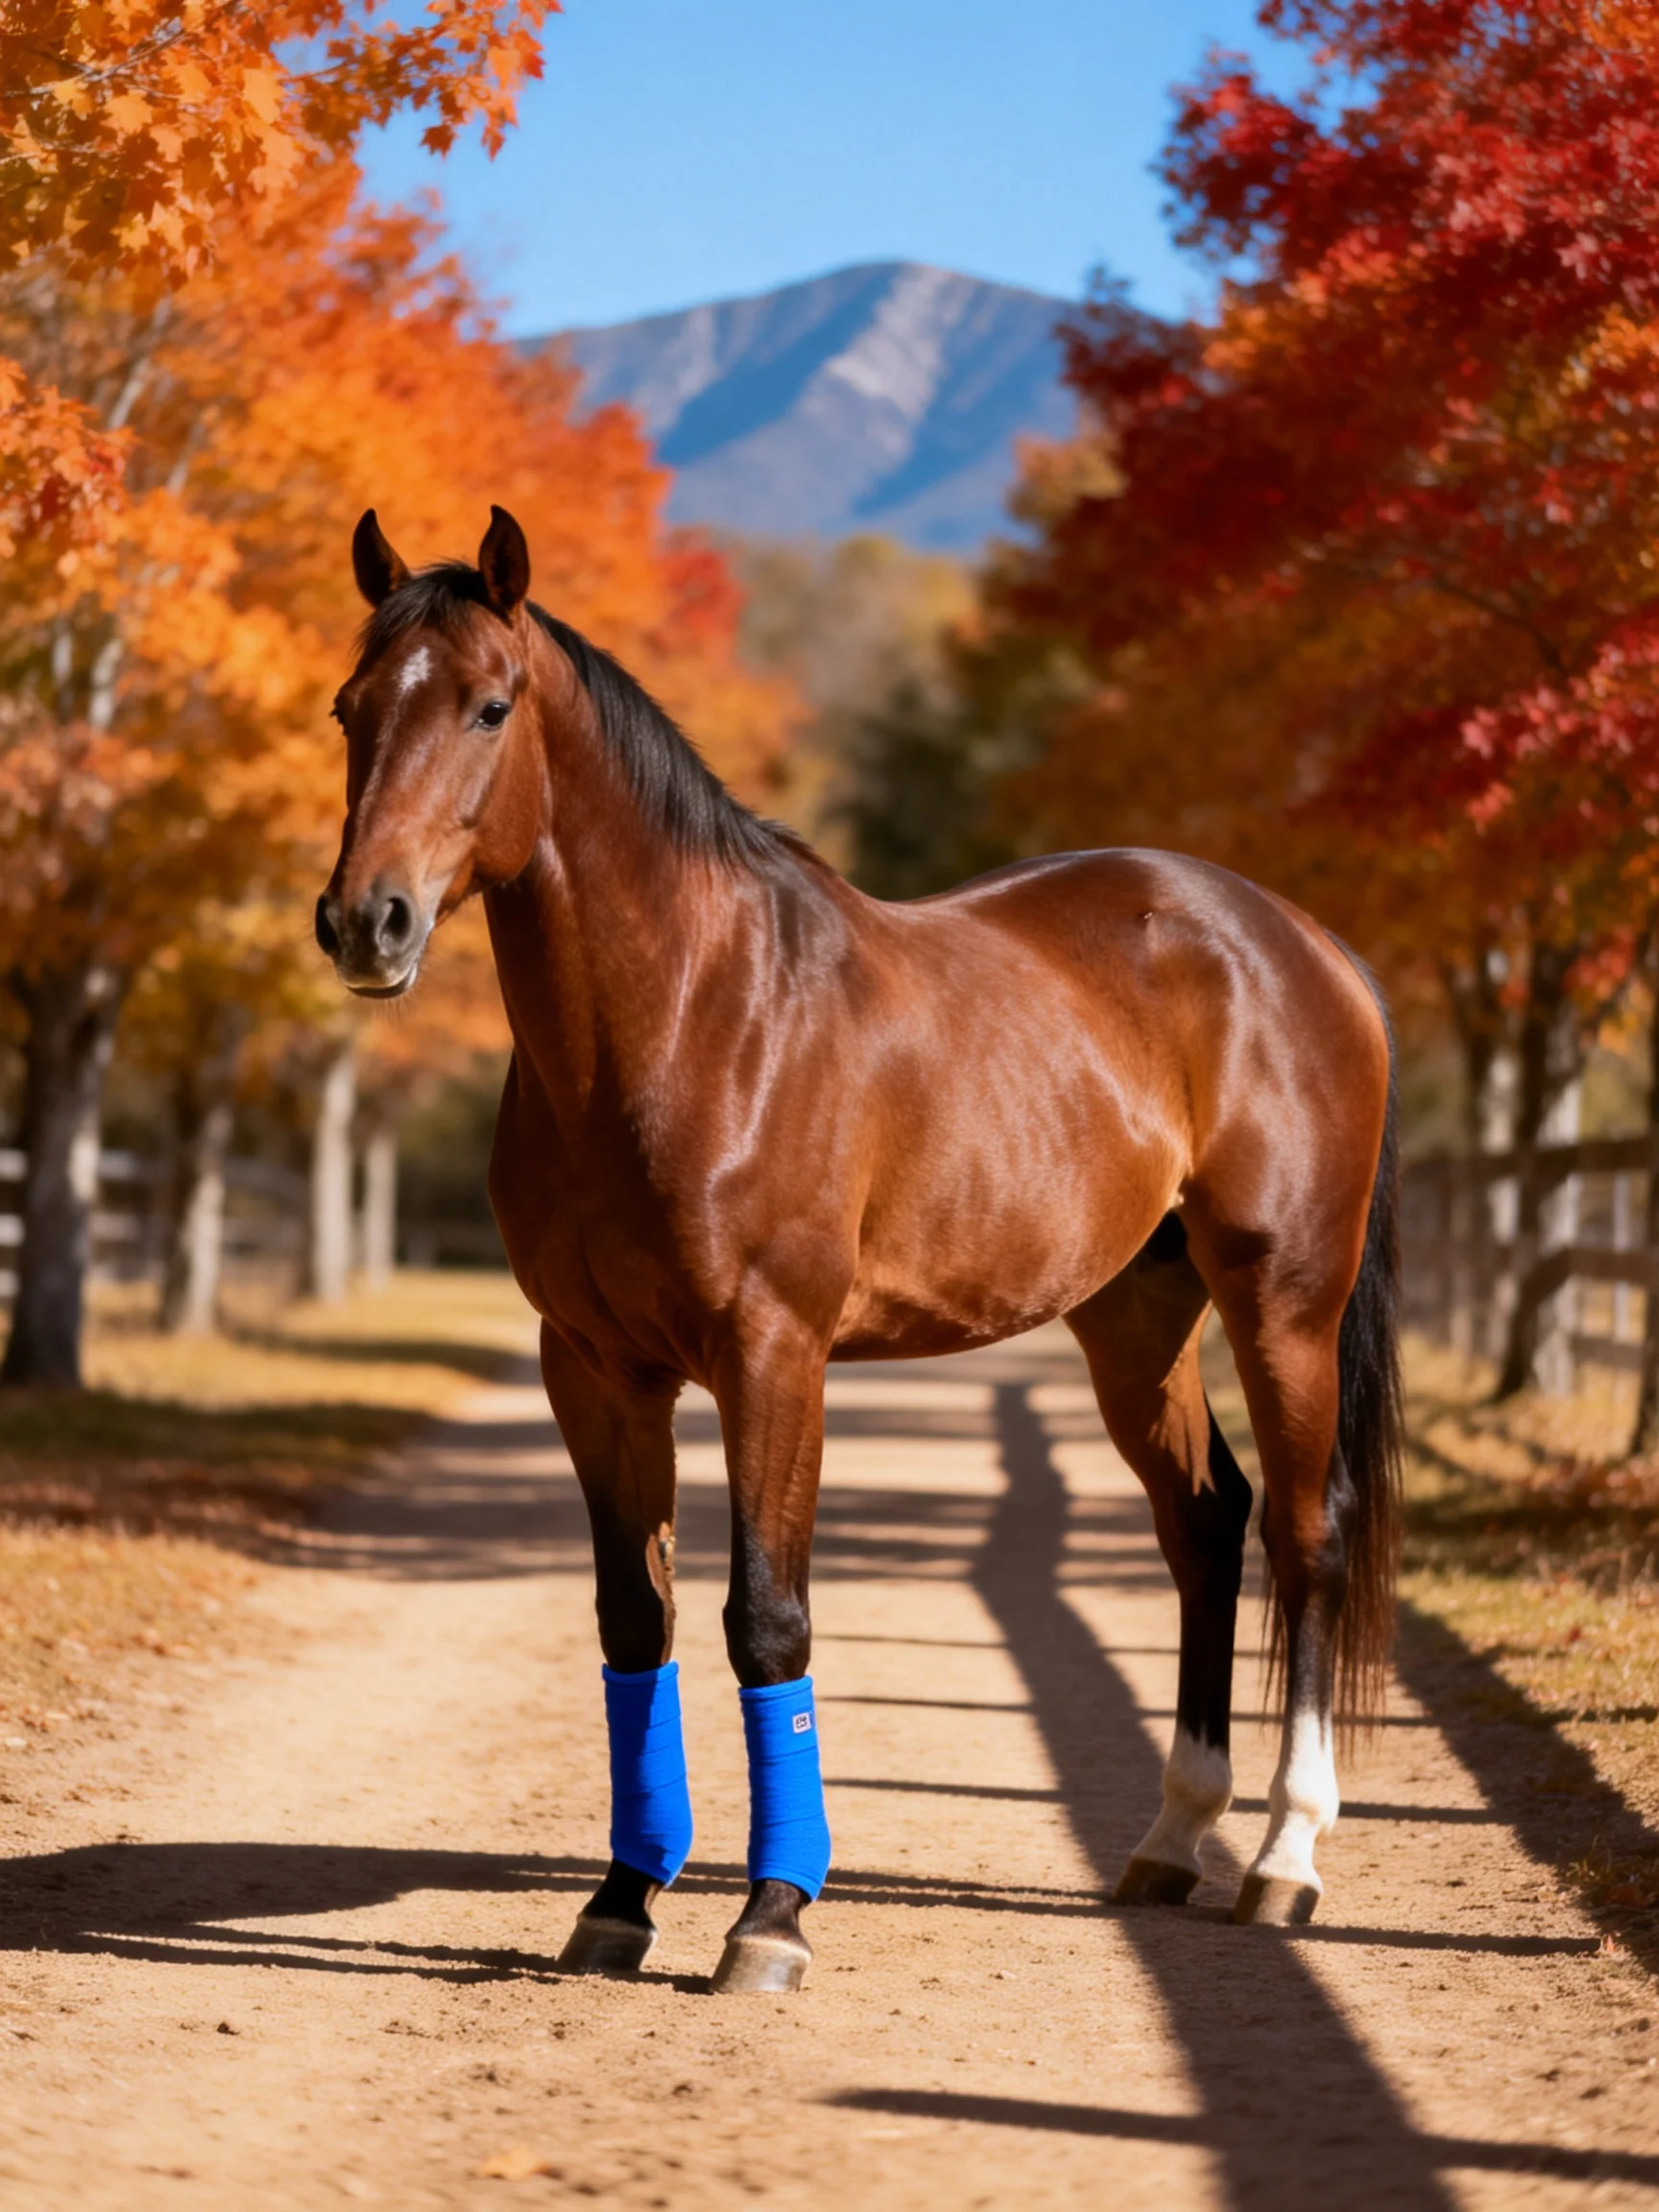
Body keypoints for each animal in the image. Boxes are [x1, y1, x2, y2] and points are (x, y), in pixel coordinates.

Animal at [316, 505, 1403, 1994]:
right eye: (349, 708)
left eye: (490, 706)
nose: (364, 924)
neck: (692, 1015)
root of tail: (1302, 944)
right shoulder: (594, 1369)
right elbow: (634, 1623)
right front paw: (621, 1899)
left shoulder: (775, 1357)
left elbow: (767, 1617)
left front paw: (769, 1917)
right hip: (1138, 1316)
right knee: (1206, 1521)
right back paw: (1175, 1840)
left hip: (1282, 1299)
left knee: (1305, 1535)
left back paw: (1287, 1856)